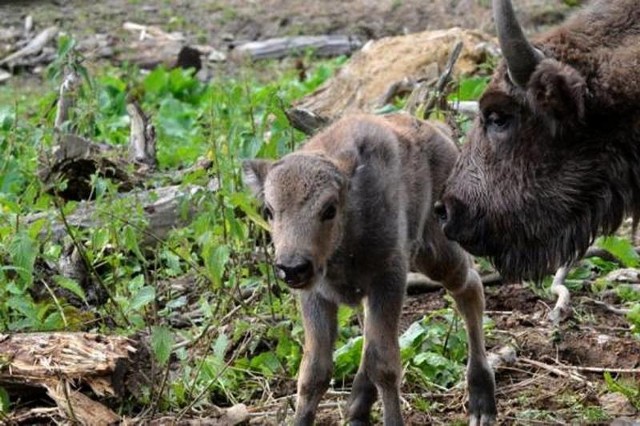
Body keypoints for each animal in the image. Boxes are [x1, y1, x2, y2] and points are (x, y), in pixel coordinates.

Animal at [242, 114, 498, 426]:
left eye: (329, 209)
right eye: (268, 210)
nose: (292, 267)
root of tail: (439, 132)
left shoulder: (388, 280)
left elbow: (385, 366)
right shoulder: (316, 296)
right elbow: (314, 371)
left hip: (438, 253)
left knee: (469, 288)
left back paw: (481, 403)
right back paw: (357, 409)